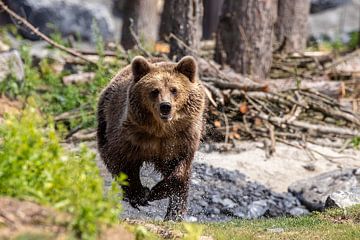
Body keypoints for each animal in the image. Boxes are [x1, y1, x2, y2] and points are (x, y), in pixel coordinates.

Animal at [97, 55, 207, 220]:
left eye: (174, 90)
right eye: (155, 90)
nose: (165, 106)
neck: (160, 131)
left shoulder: (181, 139)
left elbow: (180, 171)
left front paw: (157, 191)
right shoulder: (129, 136)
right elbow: (118, 160)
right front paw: (140, 194)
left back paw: (174, 214)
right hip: (105, 116)